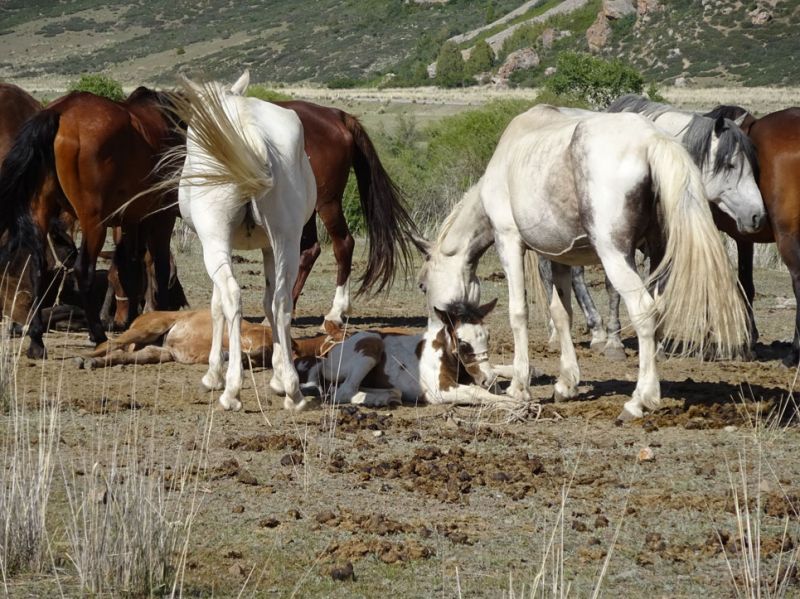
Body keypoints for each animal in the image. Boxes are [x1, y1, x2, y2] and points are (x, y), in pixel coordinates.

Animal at [0, 85, 182, 358]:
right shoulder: (161, 215)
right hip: (94, 222)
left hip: (42, 212)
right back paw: (98, 335)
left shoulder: (131, 219)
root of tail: (60, 111)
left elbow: (131, 266)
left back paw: (37, 341)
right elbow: (156, 265)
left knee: (38, 268)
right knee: (82, 271)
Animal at [169, 71, 316, 412]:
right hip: (287, 240)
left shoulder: (213, 245)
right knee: (282, 301)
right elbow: (268, 303)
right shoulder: (268, 248)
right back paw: (293, 391)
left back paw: (232, 390)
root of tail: (253, 135)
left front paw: (213, 374)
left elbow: (216, 306)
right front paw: (279, 375)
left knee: (232, 297)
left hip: (215, 242)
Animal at [536, 97, 764, 360]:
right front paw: (615, 343)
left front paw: (658, 345)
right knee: (552, 275)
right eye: (730, 164)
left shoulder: (661, 245)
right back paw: (564, 334)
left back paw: (596, 333)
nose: (757, 215)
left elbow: (657, 289)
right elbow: (614, 288)